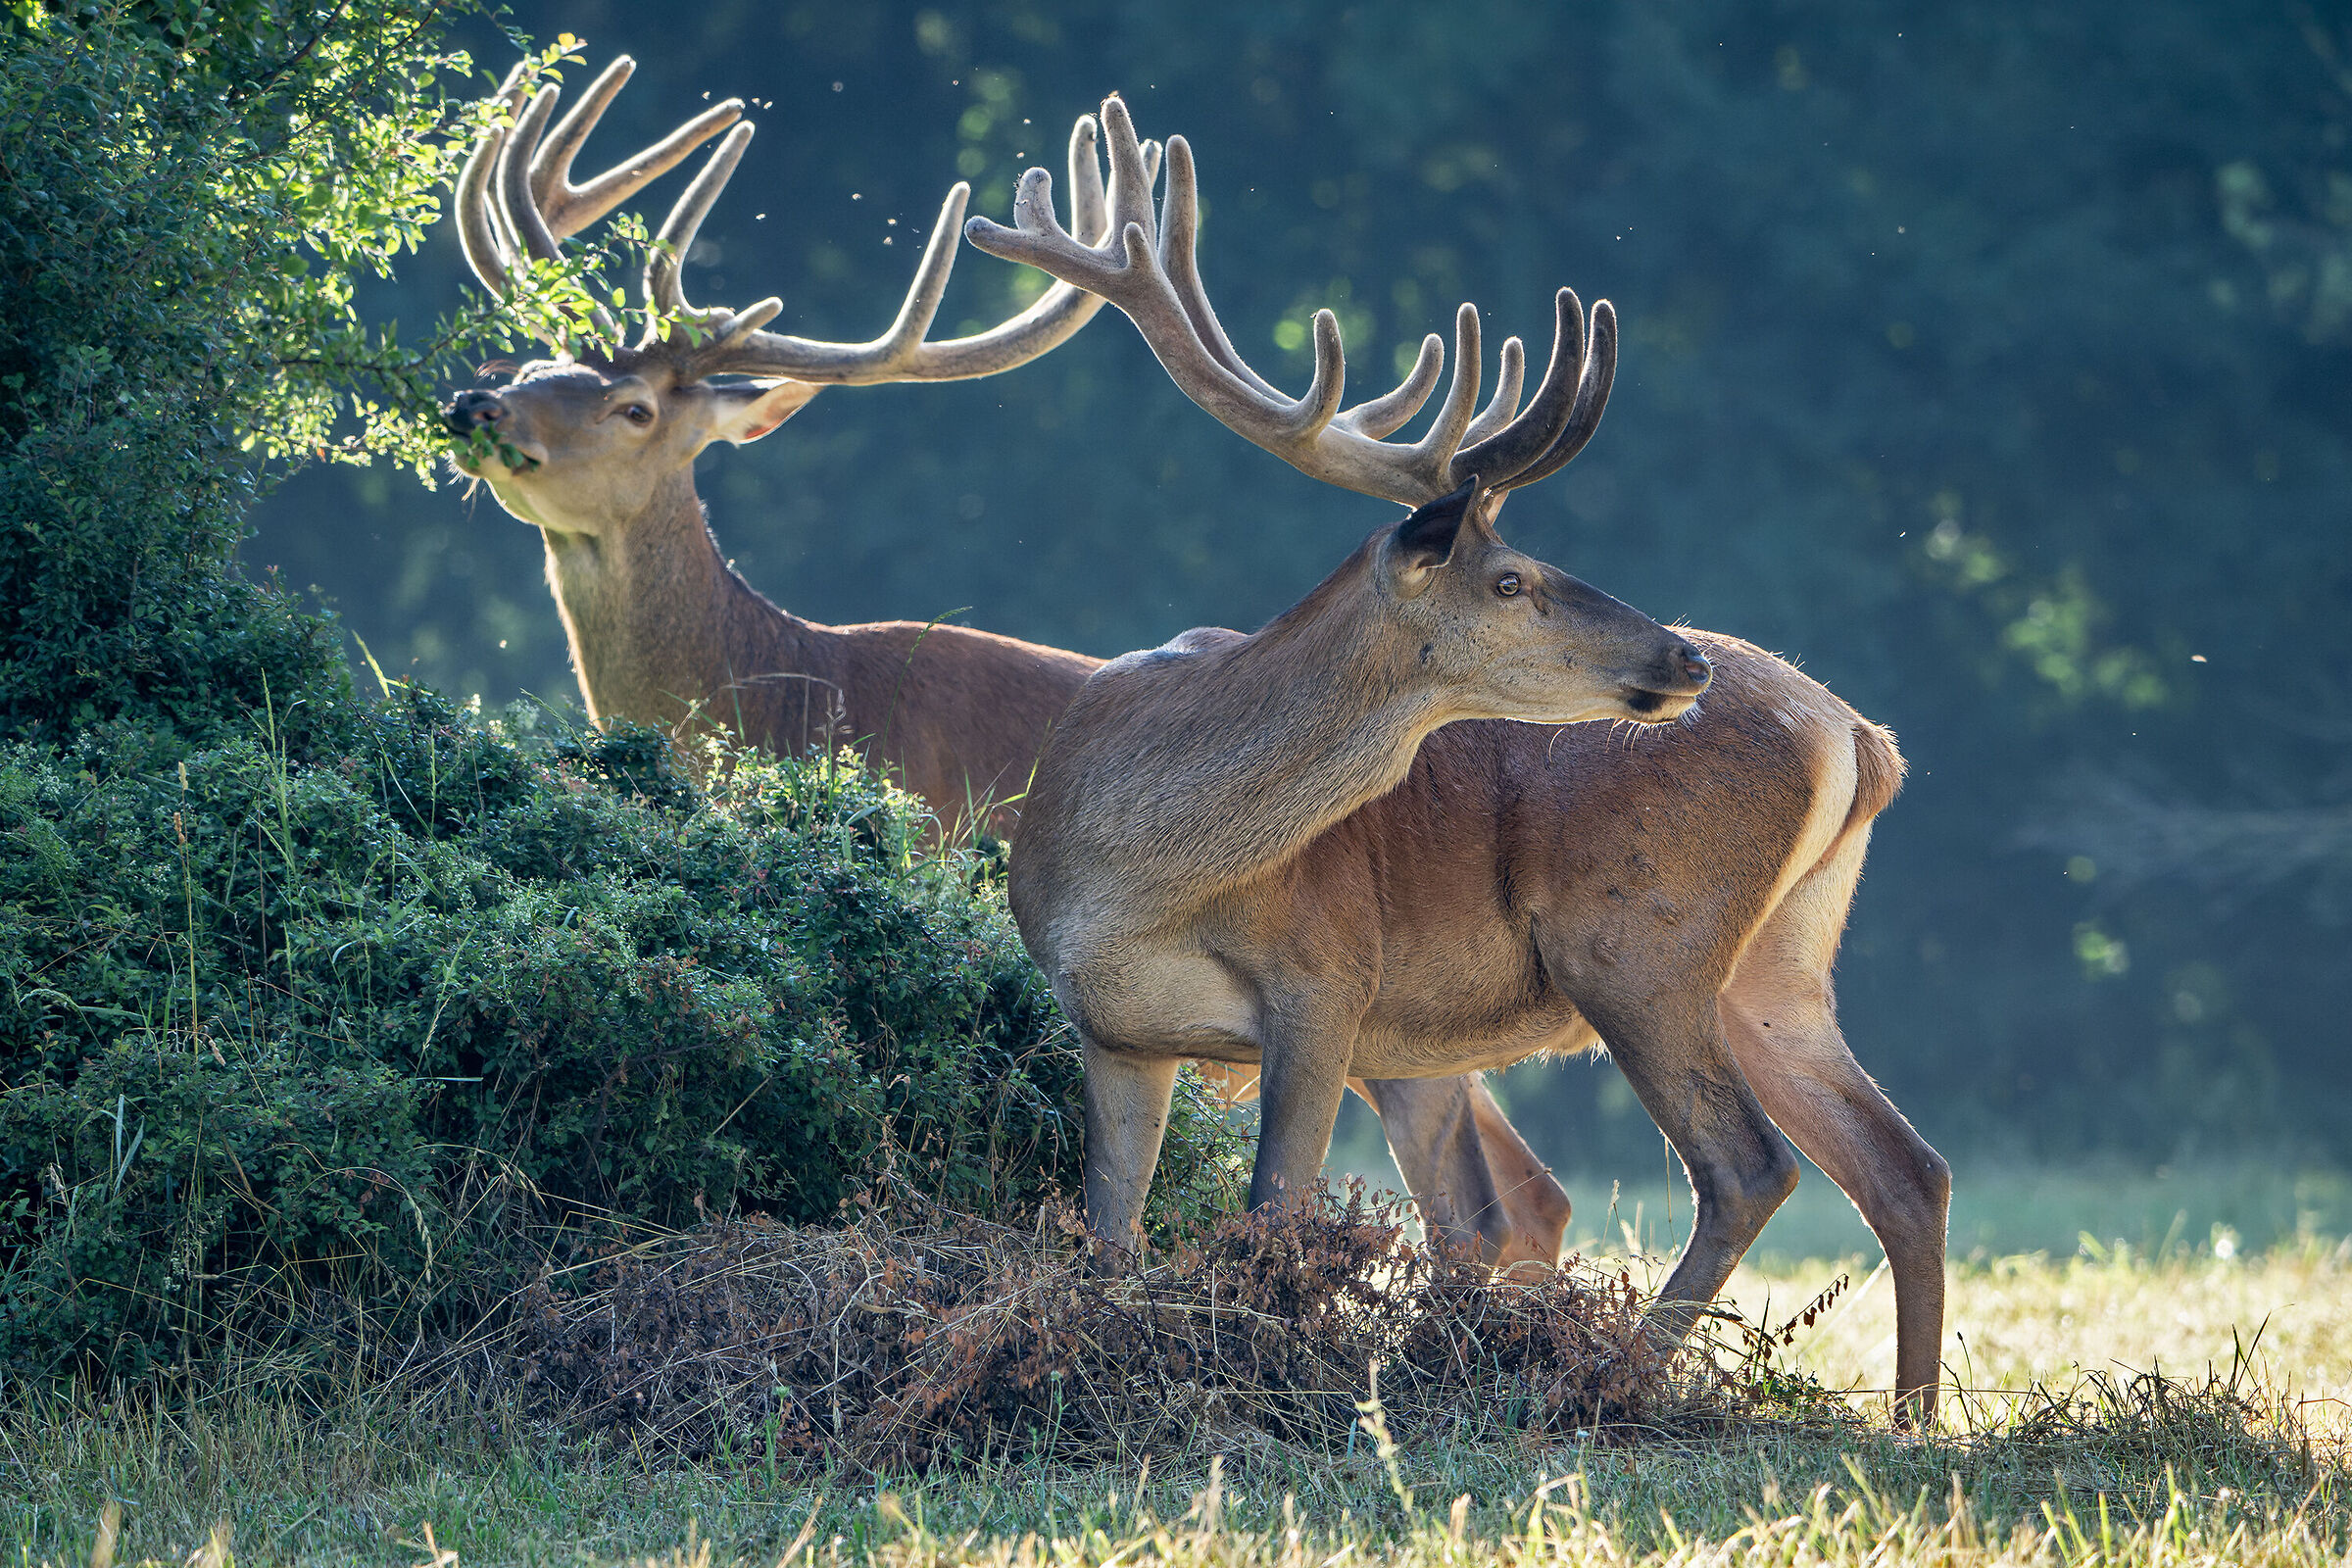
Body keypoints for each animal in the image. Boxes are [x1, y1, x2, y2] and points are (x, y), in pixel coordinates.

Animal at [435, 58, 1577, 1276]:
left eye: (634, 406)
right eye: (532, 360)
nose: (475, 404)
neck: (782, 695)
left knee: (1519, 1192)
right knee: (1517, 1190)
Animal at [967, 98, 1953, 1421]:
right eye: (1513, 578)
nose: (1682, 654)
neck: (1133, 872)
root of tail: (1854, 733)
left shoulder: (1326, 976)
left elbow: (1271, 1215)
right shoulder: (1114, 1029)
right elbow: (1108, 1236)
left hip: (1636, 938)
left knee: (1749, 1167)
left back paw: (1606, 1377)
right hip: (1775, 967)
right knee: (1903, 1166)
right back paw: (1915, 1422)